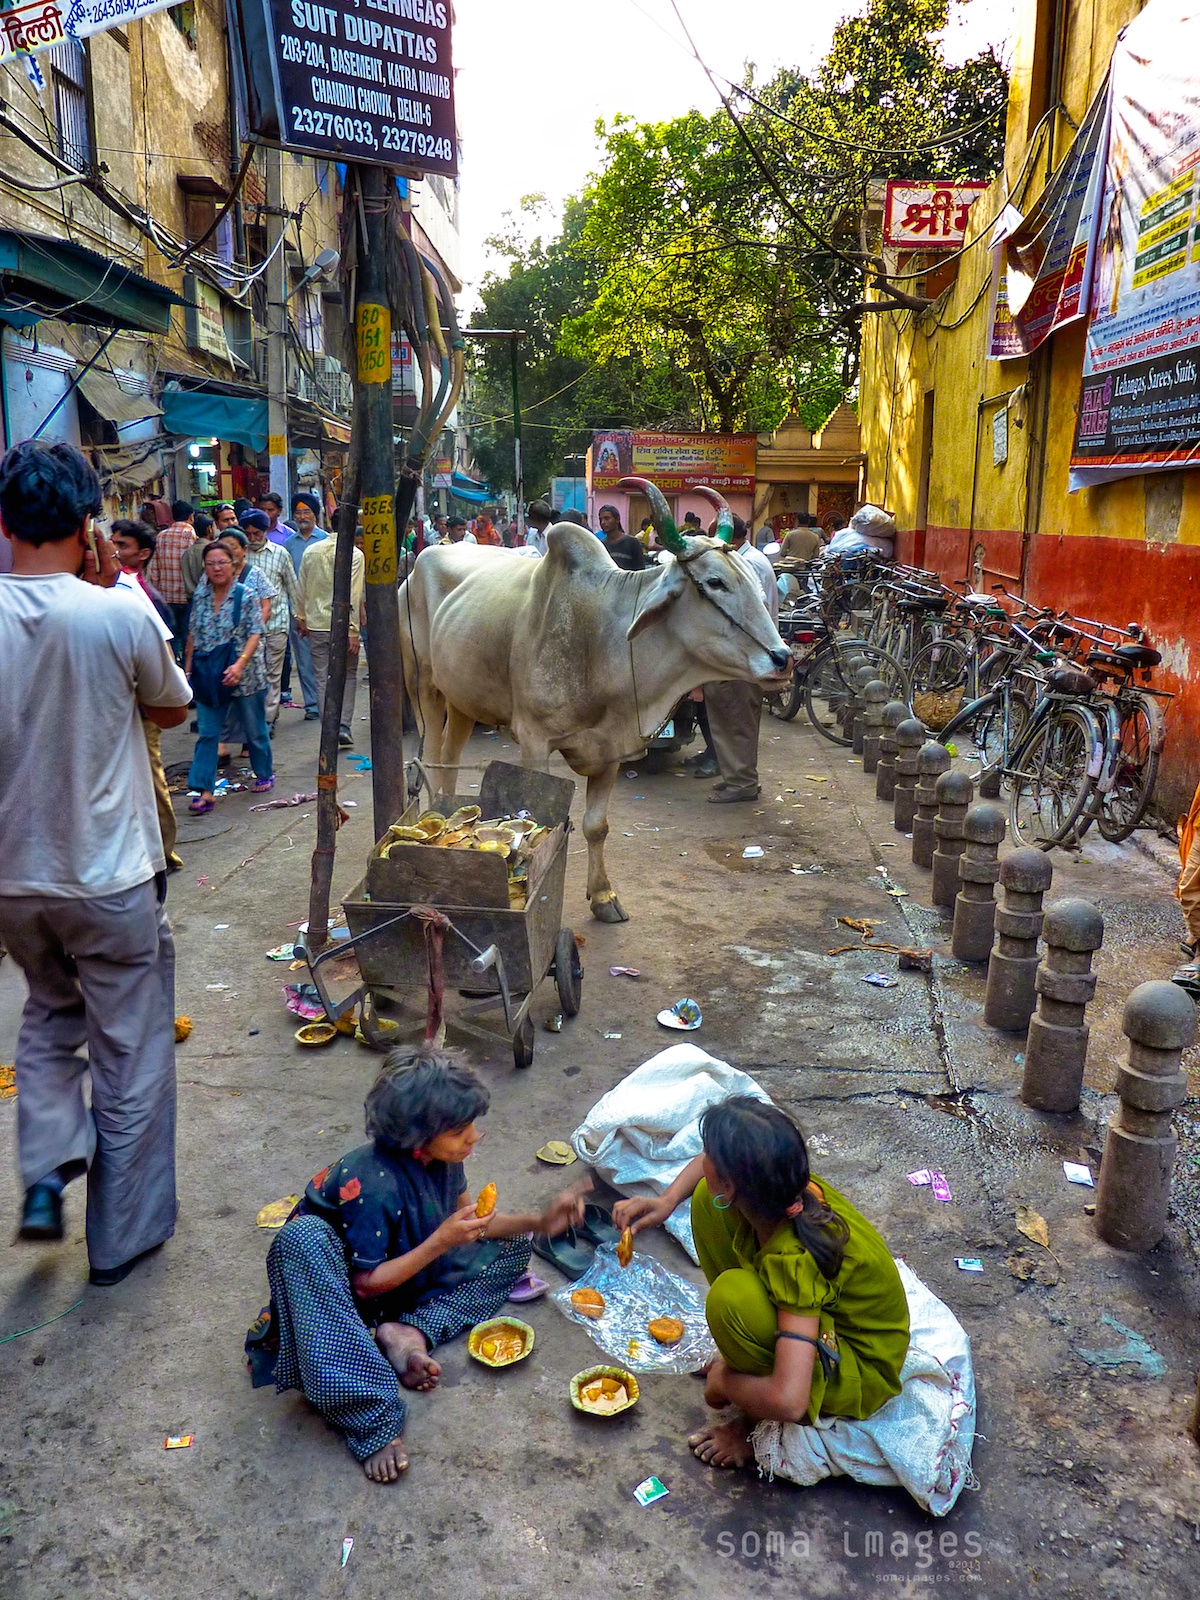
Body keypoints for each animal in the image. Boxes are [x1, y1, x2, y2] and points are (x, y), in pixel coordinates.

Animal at [404, 521, 793, 921]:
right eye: (715, 582)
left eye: (753, 579)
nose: (783, 658)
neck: (601, 639)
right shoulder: (533, 741)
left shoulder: (610, 749)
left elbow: (596, 826)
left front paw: (604, 896)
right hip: (422, 685)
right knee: (430, 757)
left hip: (462, 699)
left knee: (450, 759)